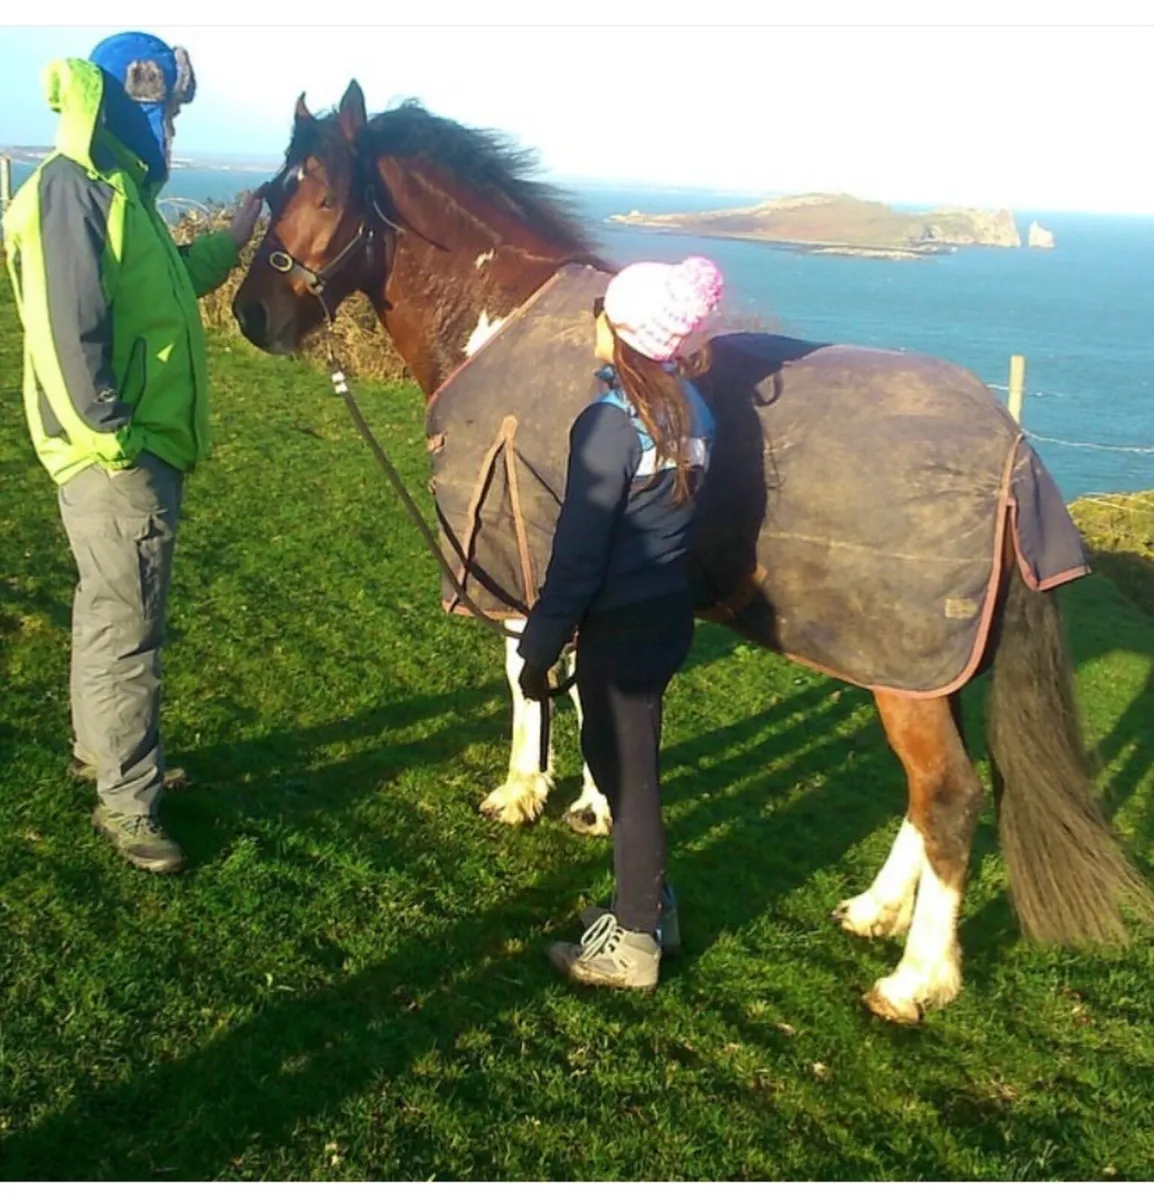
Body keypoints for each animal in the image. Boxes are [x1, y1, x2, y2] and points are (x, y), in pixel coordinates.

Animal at [230, 81, 1153, 1023]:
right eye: (273, 188)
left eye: (324, 196)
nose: (251, 314)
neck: (503, 326)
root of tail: (1014, 454)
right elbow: (580, 690)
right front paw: (592, 804)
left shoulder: (526, 555)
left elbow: (527, 674)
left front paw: (524, 792)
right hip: (919, 669)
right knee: (926, 795)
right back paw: (874, 910)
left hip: (910, 673)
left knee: (951, 799)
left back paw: (914, 979)